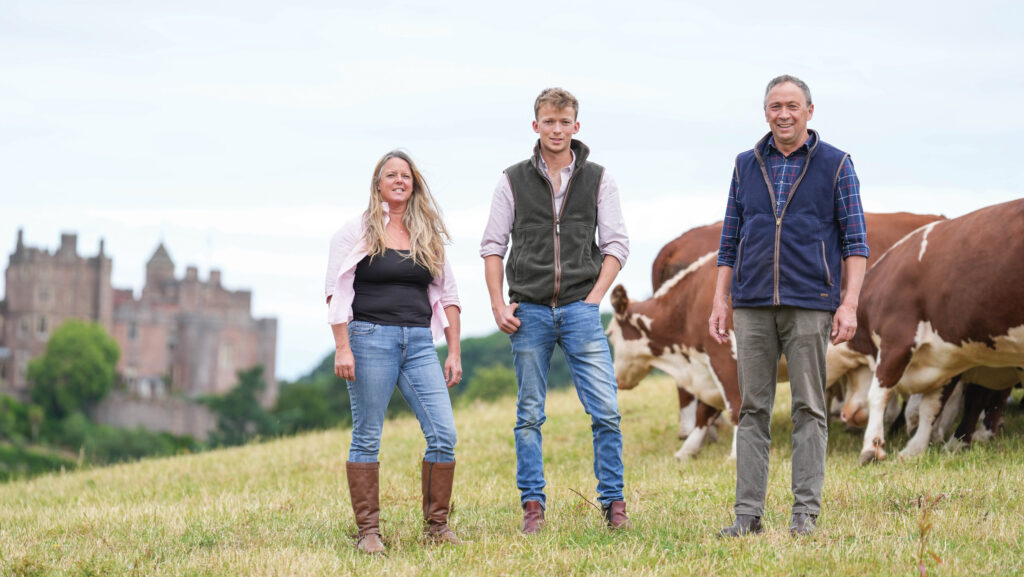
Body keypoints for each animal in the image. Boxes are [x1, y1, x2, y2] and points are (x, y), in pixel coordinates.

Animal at [606, 212, 942, 461]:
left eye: (610, 333)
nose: (618, 380)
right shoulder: (707, 367)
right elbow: (705, 411)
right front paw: (687, 449)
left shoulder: (724, 358)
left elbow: (734, 407)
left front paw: (734, 454)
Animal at [835, 198, 1024, 465]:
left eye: (852, 372)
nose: (846, 415)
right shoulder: (945, 359)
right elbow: (929, 407)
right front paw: (915, 448)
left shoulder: (898, 340)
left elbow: (880, 394)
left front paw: (872, 447)